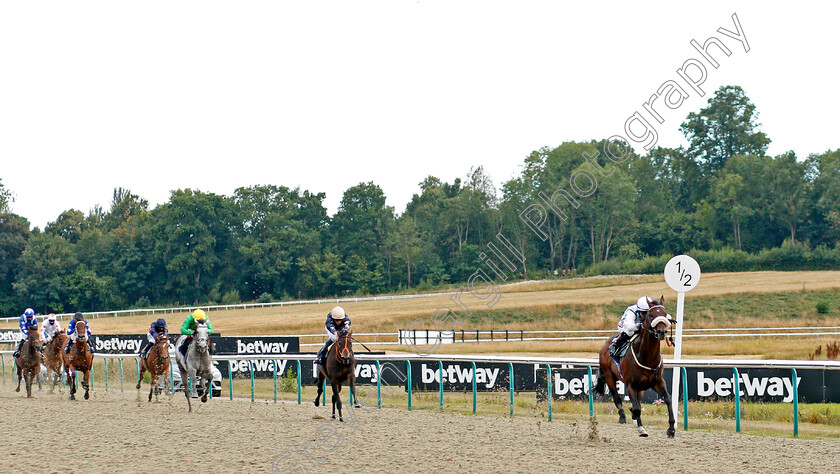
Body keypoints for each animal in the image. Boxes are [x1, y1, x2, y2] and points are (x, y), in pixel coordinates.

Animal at [592, 296, 680, 436]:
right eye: (651, 315)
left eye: (665, 314)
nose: (661, 332)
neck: (647, 357)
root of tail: (605, 344)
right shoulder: (630, 384)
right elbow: (636, 408)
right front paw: (635, 419)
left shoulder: (657, 382)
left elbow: (668, 399)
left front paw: (671, 428)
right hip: (609, 377)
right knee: (617, 399)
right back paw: (624, 418)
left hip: (640, 388)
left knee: (637, 402)